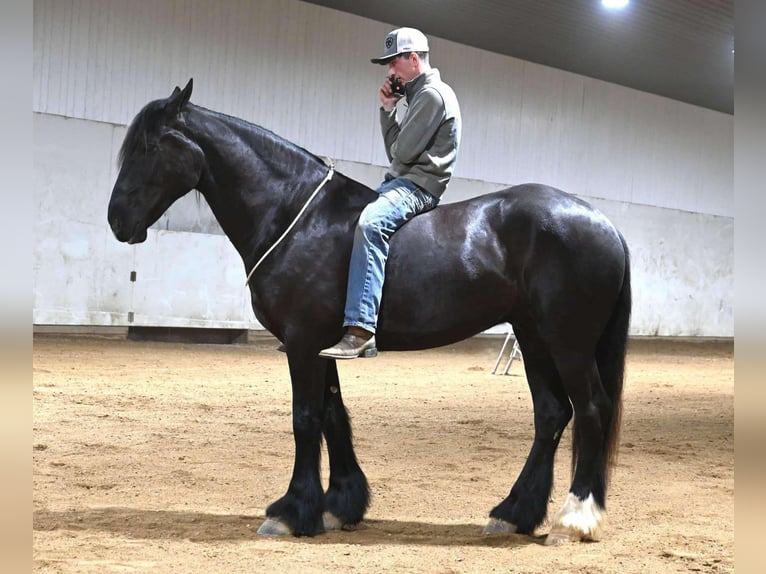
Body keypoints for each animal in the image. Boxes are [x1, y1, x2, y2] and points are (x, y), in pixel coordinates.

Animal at [107, 79, 631, 545]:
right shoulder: (324, 345)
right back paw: (513, 513)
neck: (298, 216)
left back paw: (573, 520)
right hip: (533, 337)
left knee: (590, 410)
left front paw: (291, 512)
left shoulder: (300, 341)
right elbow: (333, 415)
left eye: (149, 147)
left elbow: (305, 418)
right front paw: (339, 506)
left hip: (567, 342)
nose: (117, 221)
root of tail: (603, 223)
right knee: (552, 415)